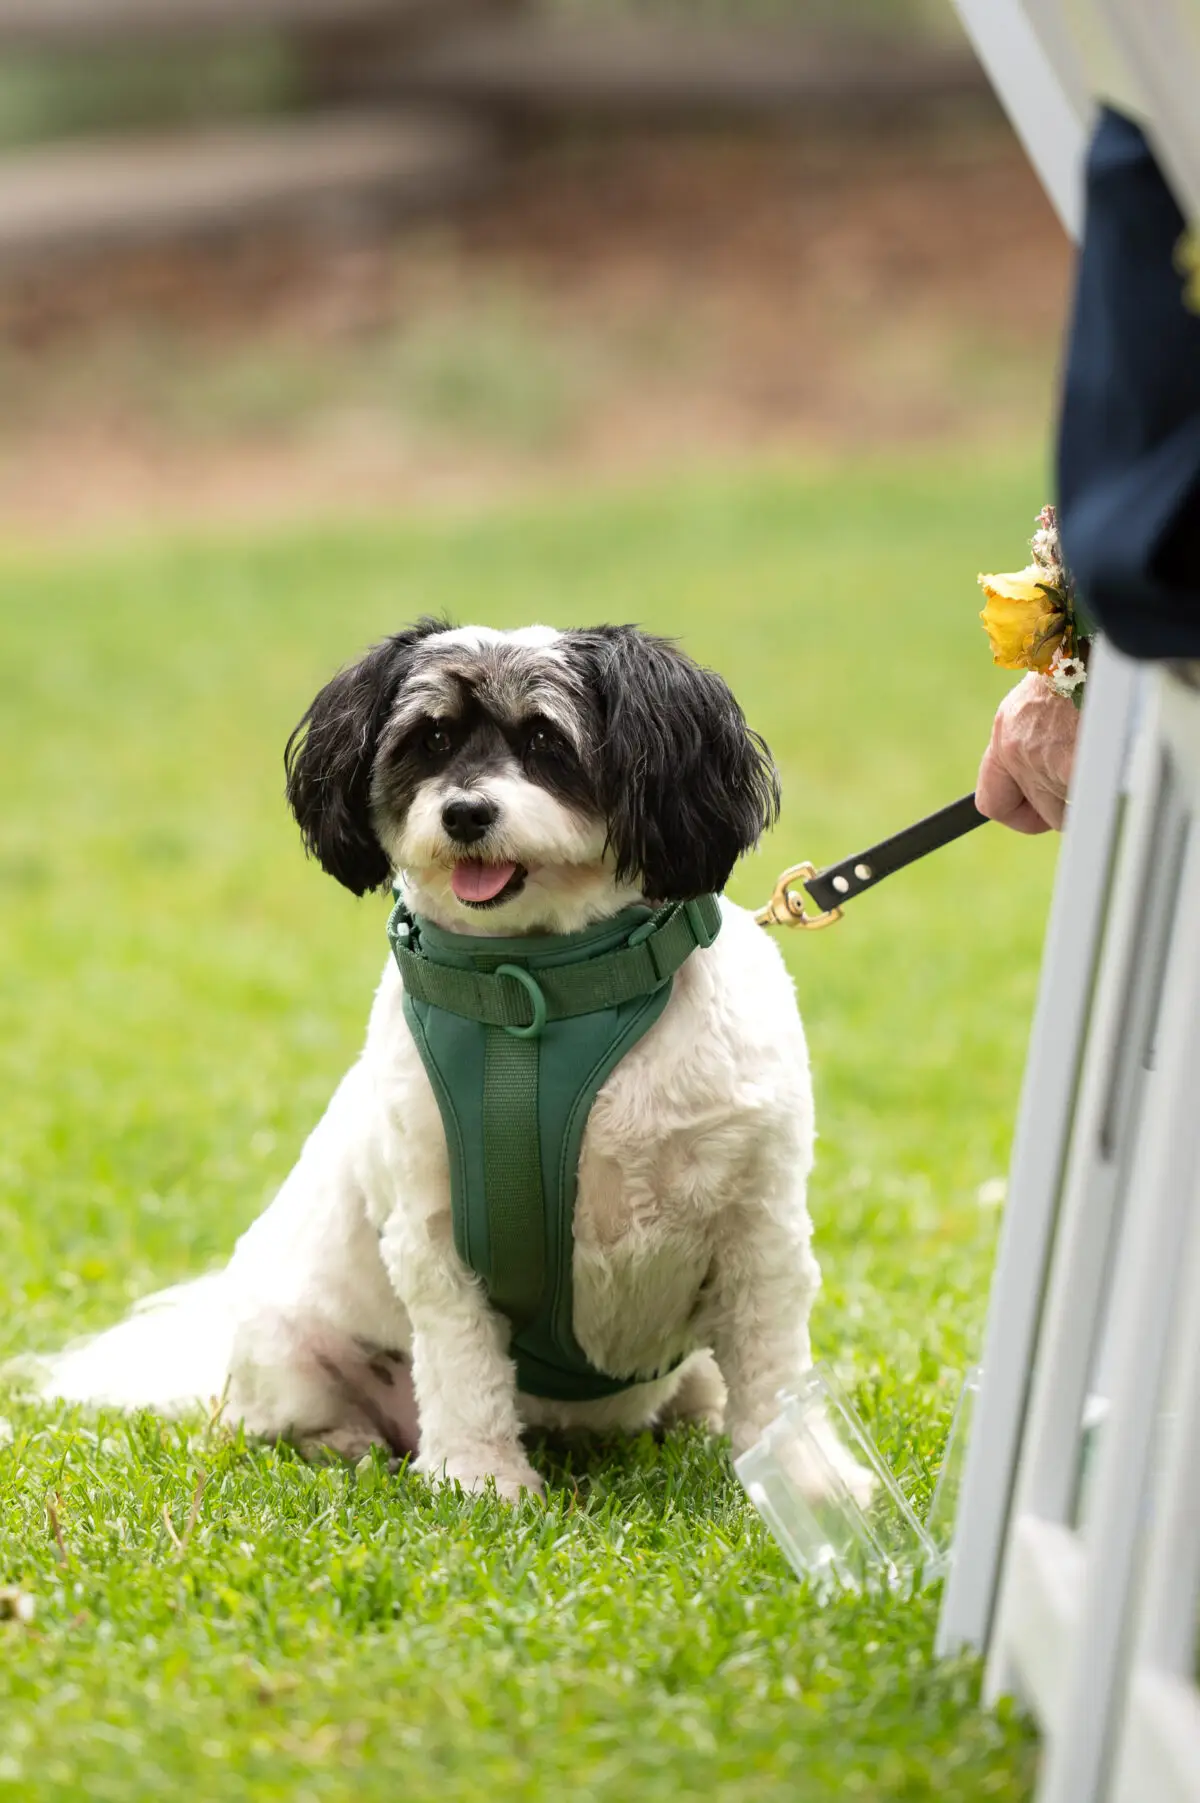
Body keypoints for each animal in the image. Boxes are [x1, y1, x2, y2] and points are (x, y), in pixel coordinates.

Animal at [35, 620, 861, 1507]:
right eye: (429, 740)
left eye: (545, 739)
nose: (464, 811)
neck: (542, 991)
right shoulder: (435, 1233)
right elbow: (464, 1364)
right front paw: (481, 1479)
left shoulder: (761, 1227)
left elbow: (773, 1367)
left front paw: (807, 1477)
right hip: (287, 1344)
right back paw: (352, 1444)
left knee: (706, 1380)